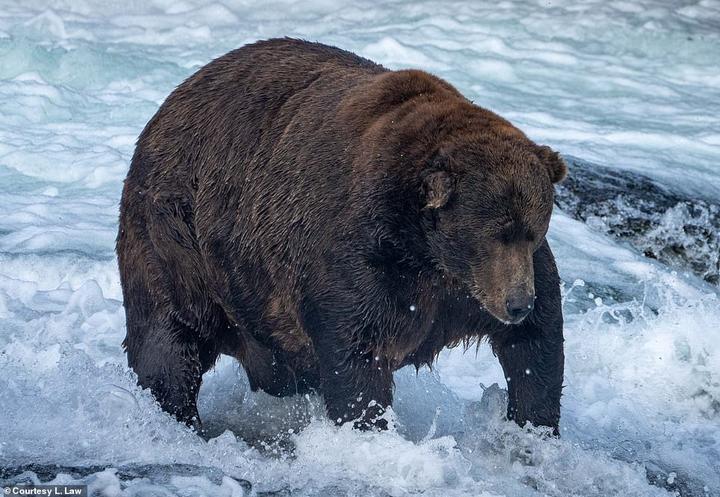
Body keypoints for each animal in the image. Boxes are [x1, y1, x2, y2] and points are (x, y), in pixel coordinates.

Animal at [117, 38, 566, 434]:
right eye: (494, 234)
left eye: (532, 230)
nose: (517, 303)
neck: (426, 251)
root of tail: (173, 98)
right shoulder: (362, 258)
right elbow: (357, 352)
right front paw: (369, 427)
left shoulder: (470, 288)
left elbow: (536, 344)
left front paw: (533, 427)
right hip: (178, 236)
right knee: (170, 336)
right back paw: (179, 417)